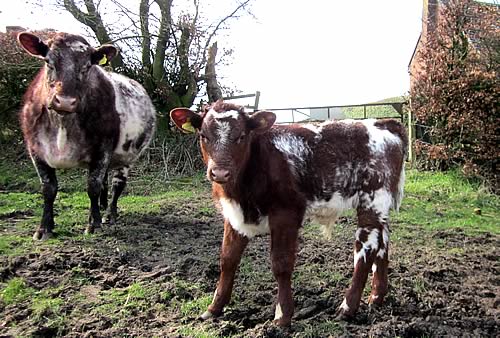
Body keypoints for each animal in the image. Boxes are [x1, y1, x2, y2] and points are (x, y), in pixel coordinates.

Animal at [19, 30, 156, 239]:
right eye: (49, 62)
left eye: (86, 66)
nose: (65, 101)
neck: (62, 123)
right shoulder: (35, 150)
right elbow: (48, 188)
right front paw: (44, 228)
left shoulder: (103, 148)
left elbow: (93, 185)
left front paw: (94, 224)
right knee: (106, 182)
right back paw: (102, 207)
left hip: (127, 156)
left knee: (117, 184)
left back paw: (109, 214)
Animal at [170, 101, 408, 328]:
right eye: (203, 135)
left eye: (241, 136)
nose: (219, 172)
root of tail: (383, 123)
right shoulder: (234, 217)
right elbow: (227, 259)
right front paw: (214, 308)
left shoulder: (286, 214)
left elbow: (281, 264)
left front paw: (283, 316)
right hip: (380, 205)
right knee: (383, 242)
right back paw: (377, 297)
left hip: (372, 199)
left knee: (366, 250)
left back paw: (347, 307)